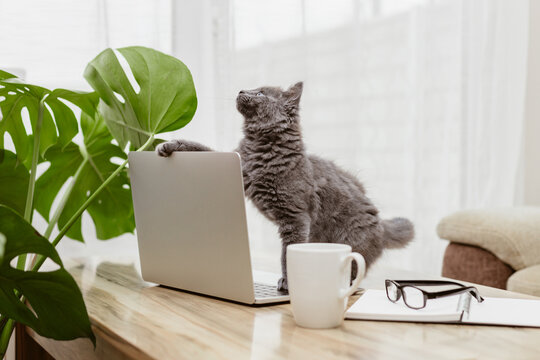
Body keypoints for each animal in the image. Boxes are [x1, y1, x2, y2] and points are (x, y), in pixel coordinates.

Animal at [156, 83, 414, 292]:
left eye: (260, 93)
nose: (241, 90)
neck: (261, 148)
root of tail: (381, 225)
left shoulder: (295, 217)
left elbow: (288, 253)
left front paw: (289, 283)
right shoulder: (238, 165)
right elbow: (202, 148)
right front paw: (170, 144)